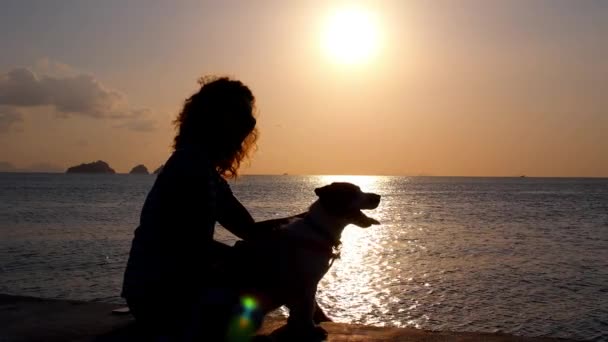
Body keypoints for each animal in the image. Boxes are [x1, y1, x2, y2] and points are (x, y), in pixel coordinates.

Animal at [233, 182, 380, 340]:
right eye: (352, 192)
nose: (378, 197)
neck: (319, 230)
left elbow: (300, 310)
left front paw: (296, 326)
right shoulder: (307, 283)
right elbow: (308, 308)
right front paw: (310, 329)